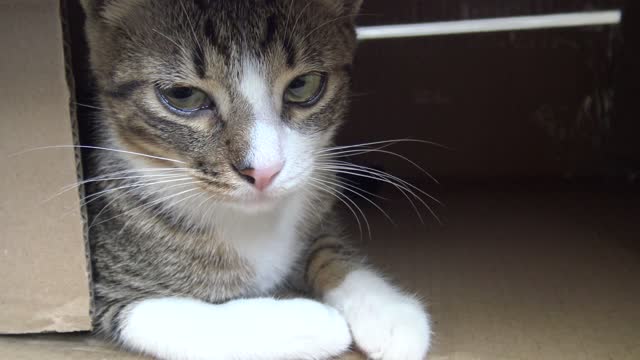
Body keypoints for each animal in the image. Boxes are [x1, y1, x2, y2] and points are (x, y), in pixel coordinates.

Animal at [80, 0, 430, 360]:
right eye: (182, 95)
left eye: (303, 85)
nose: (263, 171)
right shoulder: (106, 288)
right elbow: (172, 318)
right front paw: (310, 322)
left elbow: (328, 247)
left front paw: (387, 311)